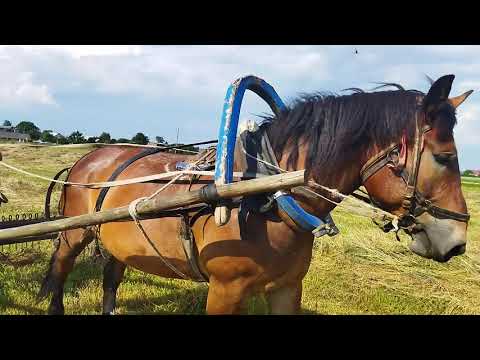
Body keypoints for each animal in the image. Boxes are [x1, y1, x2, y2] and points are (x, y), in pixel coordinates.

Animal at [37, 74, 472, 314]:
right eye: (444, 156)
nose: (458, 242)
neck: (268, 197)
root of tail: (89, 156)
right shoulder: (224, 291)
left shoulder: (287, 288)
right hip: (75, 234)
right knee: (60, 271)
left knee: (112, 277)